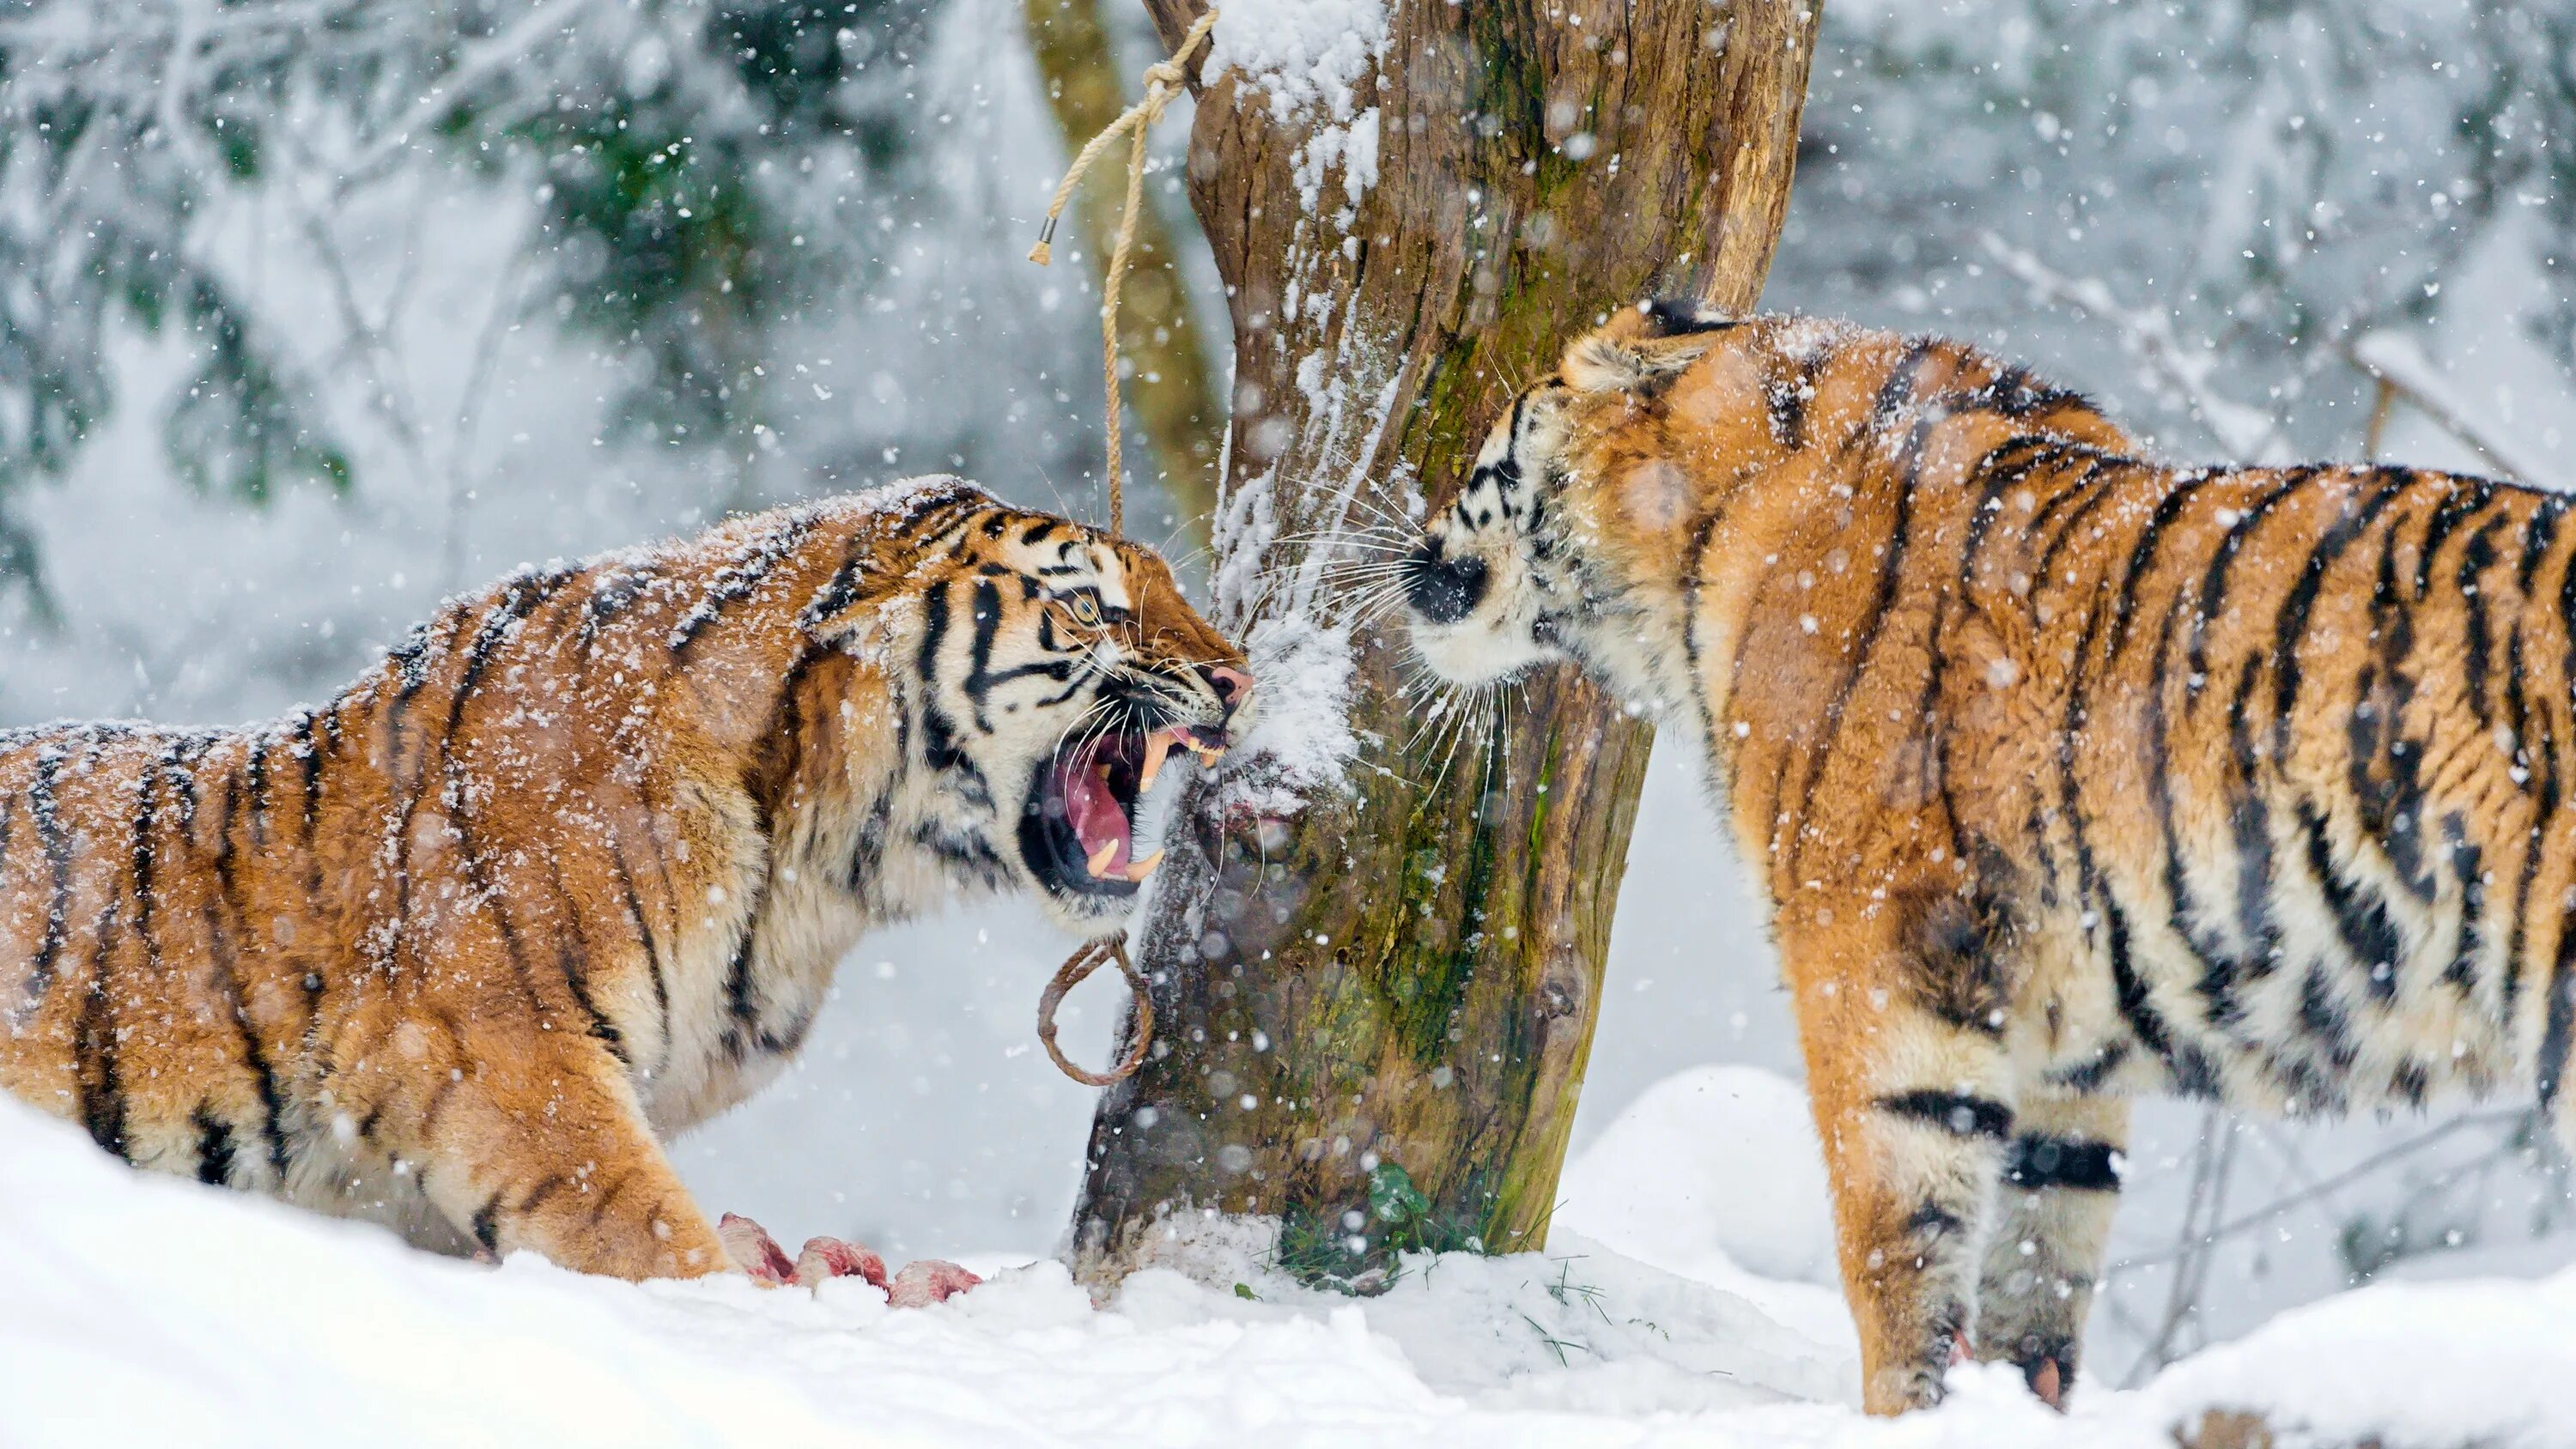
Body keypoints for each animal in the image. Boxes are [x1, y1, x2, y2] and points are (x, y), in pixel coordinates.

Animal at [1412, 303, 2576, 1421]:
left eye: (1485, 453)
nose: (1414, 547)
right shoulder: (2066, 1036)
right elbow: (2044, 1248)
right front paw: (2017, 1401)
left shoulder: (1870, 956)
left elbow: (1896, 1244)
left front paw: (1905, 1409)